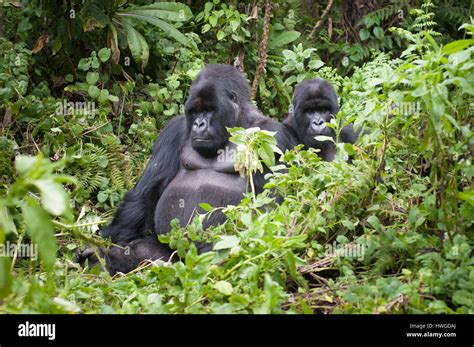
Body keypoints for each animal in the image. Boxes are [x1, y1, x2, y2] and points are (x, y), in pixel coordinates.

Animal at [78, 63, 296, 274]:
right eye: (195, 111)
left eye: (209, 110)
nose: (199, 124)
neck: (236, 124)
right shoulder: (172, 130)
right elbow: (144, 194)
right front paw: (107, 243)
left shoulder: (273, 136)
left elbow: (272, 202)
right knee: (146, 252)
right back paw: (102, 261)